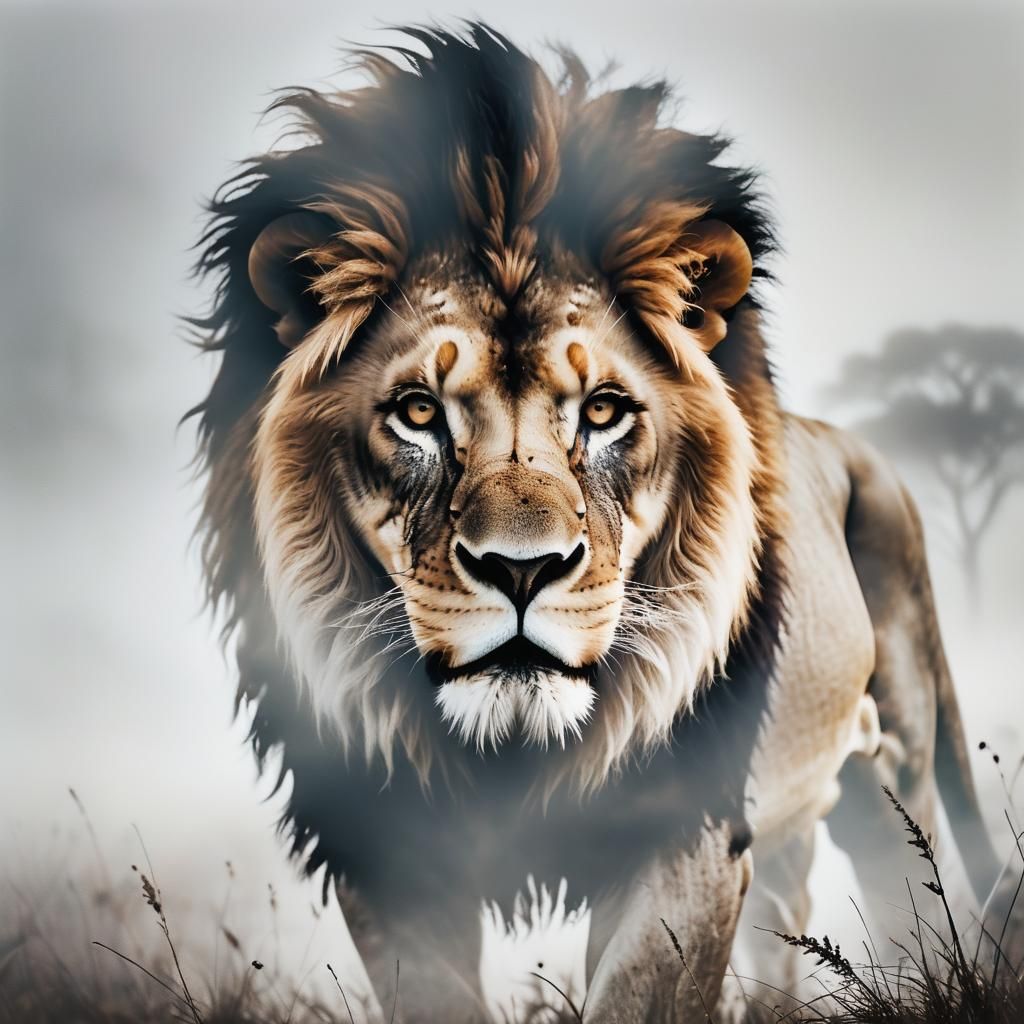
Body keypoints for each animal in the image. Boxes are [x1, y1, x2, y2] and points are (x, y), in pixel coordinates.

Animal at [190, 25, 1005, 1022]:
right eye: (418, 412)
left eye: (606, 411)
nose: (521, 569)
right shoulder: (385, 855)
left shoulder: (687, 830)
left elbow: (640, 992)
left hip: (895, 765)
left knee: (910, 900)